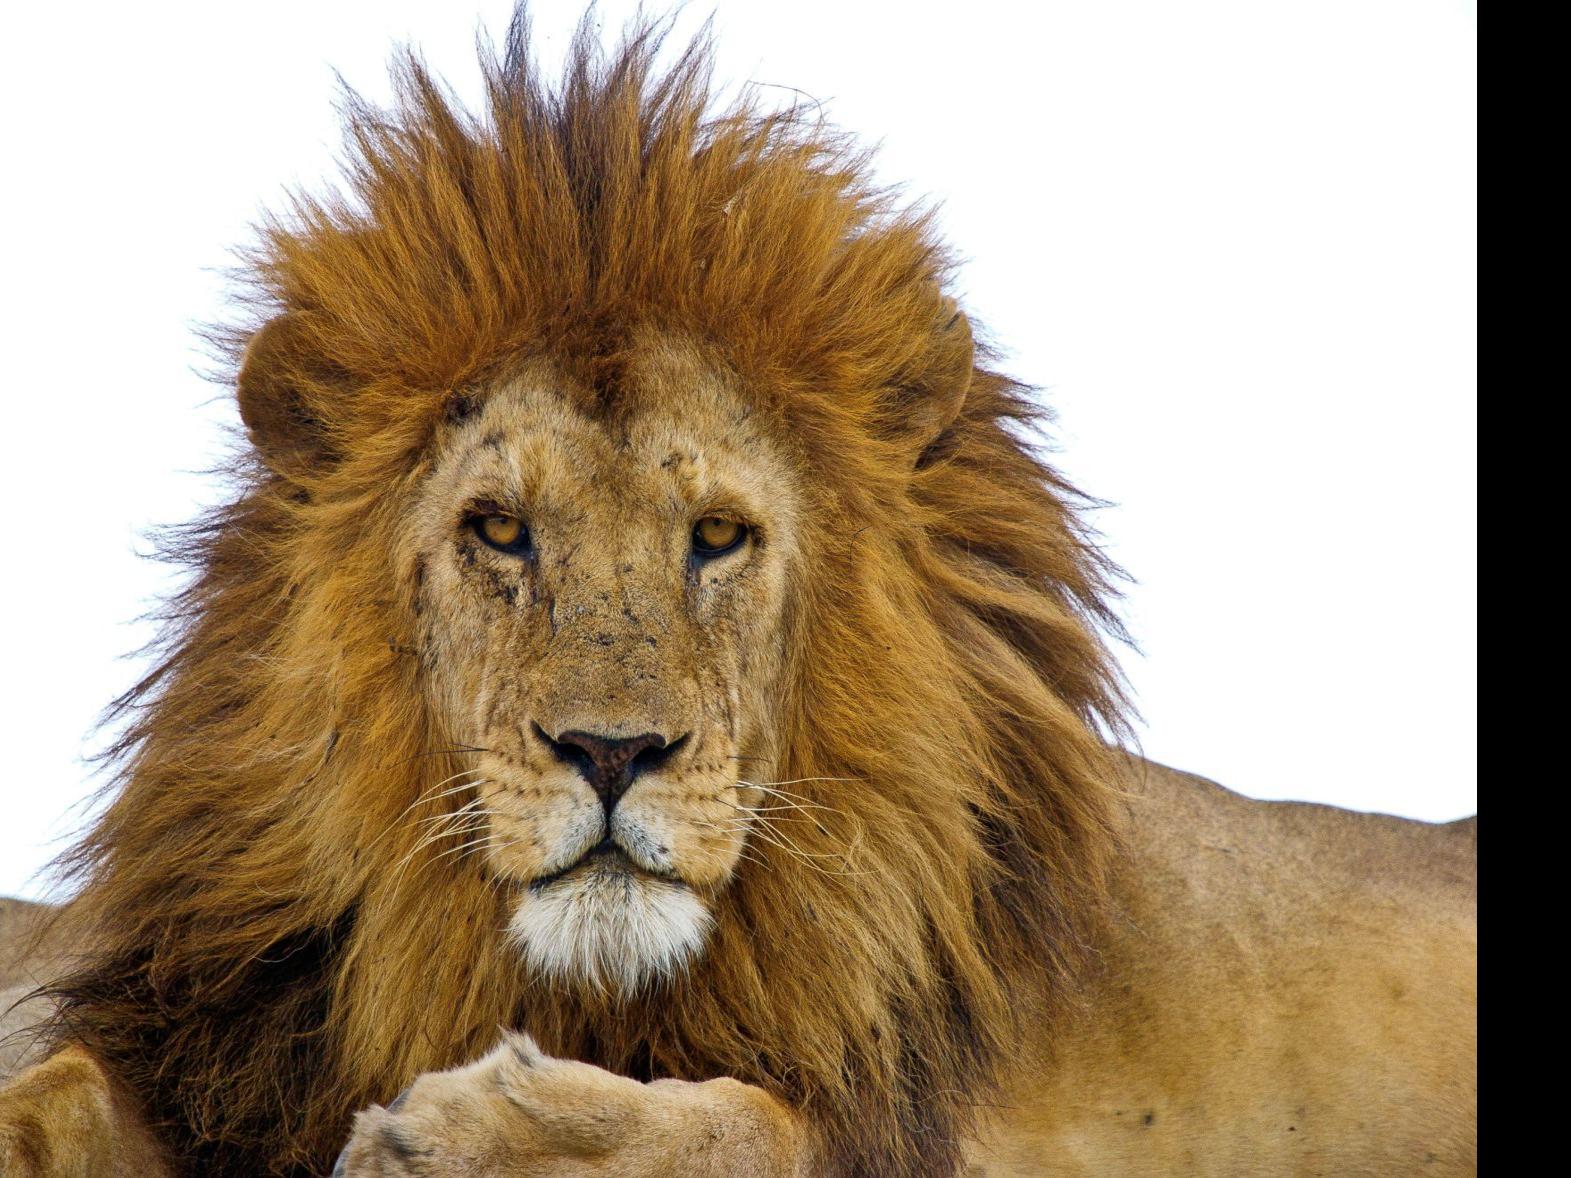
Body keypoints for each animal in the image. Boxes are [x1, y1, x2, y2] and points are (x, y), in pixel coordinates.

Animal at [0, 11, 1475, 1176]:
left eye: (714, 535)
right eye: (498, 529)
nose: (610, 753)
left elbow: (754, 1124)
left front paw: (486, 1133)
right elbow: (63, 1087)